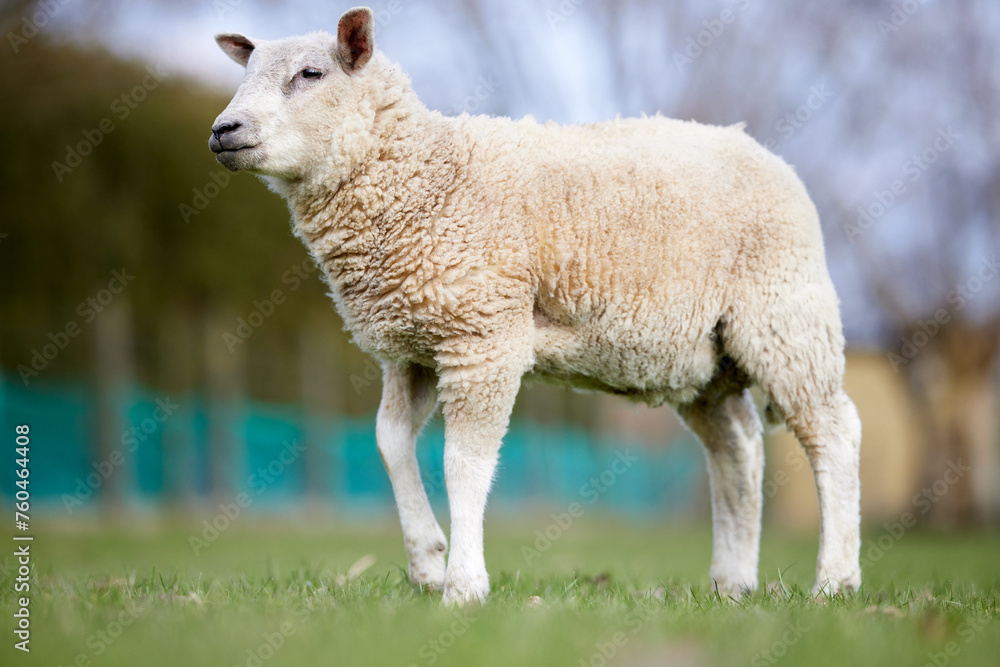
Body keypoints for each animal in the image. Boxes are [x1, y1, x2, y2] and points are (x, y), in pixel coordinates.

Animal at [209, 6, 862, 606]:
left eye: (311, 73)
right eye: (247, 73)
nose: (222, 130)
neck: (424, 177)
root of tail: (759, 148)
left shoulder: (483, 338)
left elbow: (464, 464)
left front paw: (464, 585)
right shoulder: (413, 346)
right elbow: (389, 443)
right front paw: (427, 560)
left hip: (784, 316)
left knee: (834, 434)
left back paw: (835, 581)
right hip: (701, 360)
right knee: (738, 451)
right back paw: (733, 584)